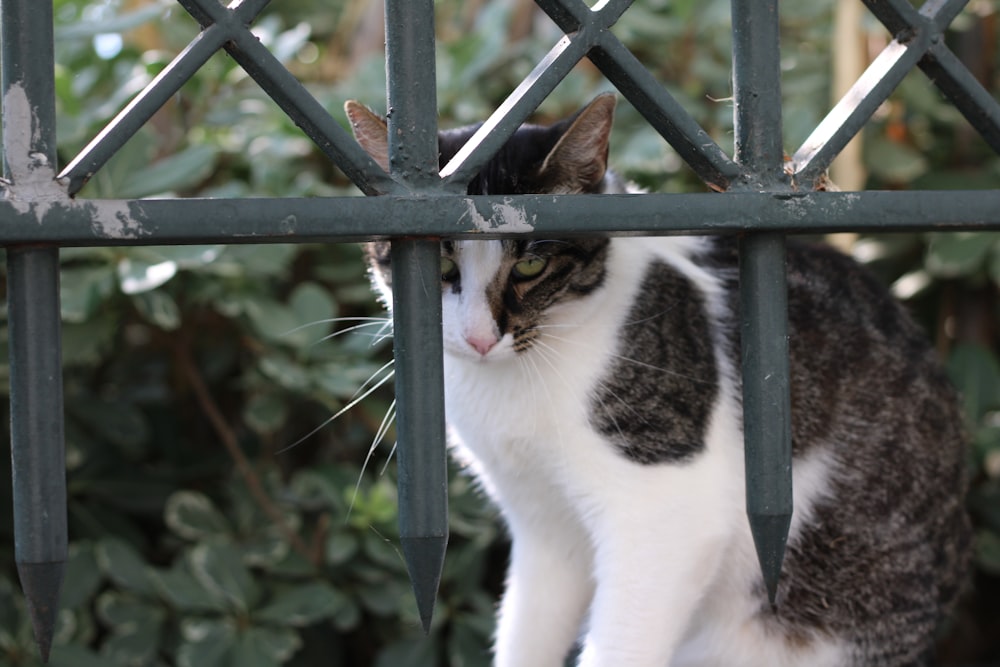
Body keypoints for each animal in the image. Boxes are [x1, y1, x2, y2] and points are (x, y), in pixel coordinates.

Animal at [344, 94, 968, 667]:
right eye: (442, 268)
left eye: (529, 266)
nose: (478, 338)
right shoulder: (545, 529)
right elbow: (529, 631)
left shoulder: (666, 516)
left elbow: (623, 641)